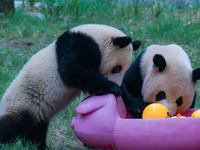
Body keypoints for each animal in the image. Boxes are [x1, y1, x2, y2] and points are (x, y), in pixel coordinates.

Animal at [0, 24, 141, 149]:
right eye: (117, 68)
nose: (117, 84)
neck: (96, 37)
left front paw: (134, 106)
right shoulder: (78, 45)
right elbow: (72, 70)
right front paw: (113, 88)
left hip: (38, 112)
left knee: (36, 131)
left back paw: (36, 146)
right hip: (23, 103)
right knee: (12, 126)